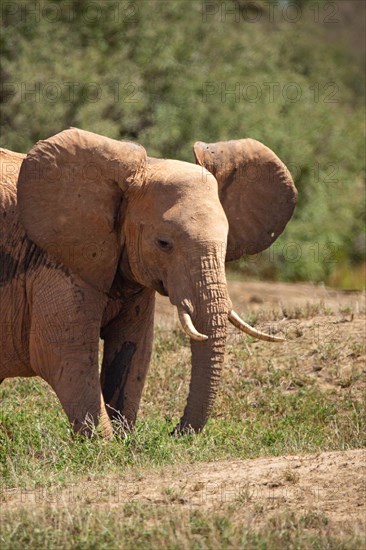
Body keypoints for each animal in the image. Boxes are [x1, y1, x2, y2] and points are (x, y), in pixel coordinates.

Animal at [0, 127, 298, 438]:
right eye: (163, 243)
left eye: (226, 243)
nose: (174, 430)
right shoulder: (58, 262)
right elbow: (63, 355)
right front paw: (107, 446)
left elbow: (134, 350)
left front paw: (125, 440)